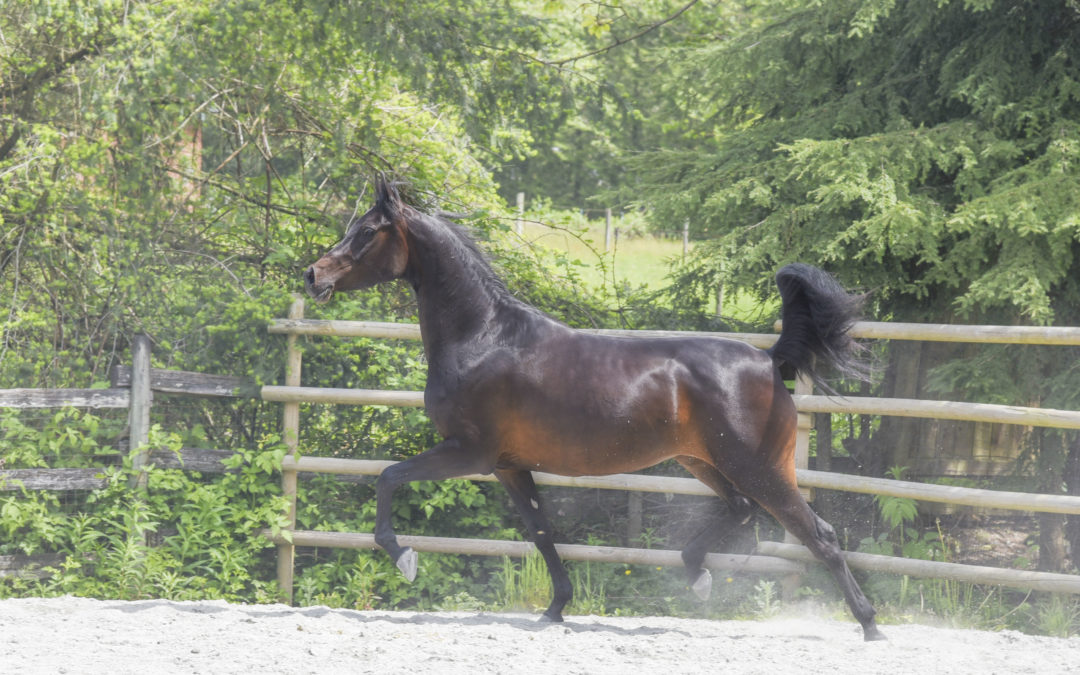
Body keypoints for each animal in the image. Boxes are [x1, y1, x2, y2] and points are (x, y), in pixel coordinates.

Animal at [304, 179, 885, 641]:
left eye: (367, 231)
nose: (312, 275)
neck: (484, 337)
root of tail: (768, 360)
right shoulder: (508, 465)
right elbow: (542, 533)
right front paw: (556, 609)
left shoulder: (468, 452)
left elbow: (387, 477)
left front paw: (404, 559)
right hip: (704, 462)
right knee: (740, 509)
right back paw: (696, 575)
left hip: (759, 467)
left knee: (819, 535)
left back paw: (870, 625)